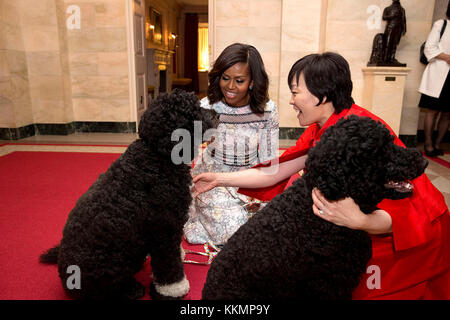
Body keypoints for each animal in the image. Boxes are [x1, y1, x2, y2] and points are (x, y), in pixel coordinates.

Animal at [39, 89, 219, 298]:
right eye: (195, 110)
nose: (218, 114)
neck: (157, 155)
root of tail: (66, 279)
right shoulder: (164, 229)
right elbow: (168, 264)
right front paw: (174, 288)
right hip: (112, 265)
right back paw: (132, 289)